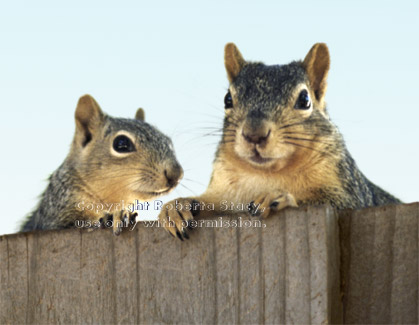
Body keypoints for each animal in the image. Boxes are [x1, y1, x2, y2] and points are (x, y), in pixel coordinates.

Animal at [159, 41, 402, 239]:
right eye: (227, 99)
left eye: (305, 100)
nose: (254, 133)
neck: (266, 174)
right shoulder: (223, 192)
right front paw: (177, 207)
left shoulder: (351, 197)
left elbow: (330, 202)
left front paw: (278, 197)